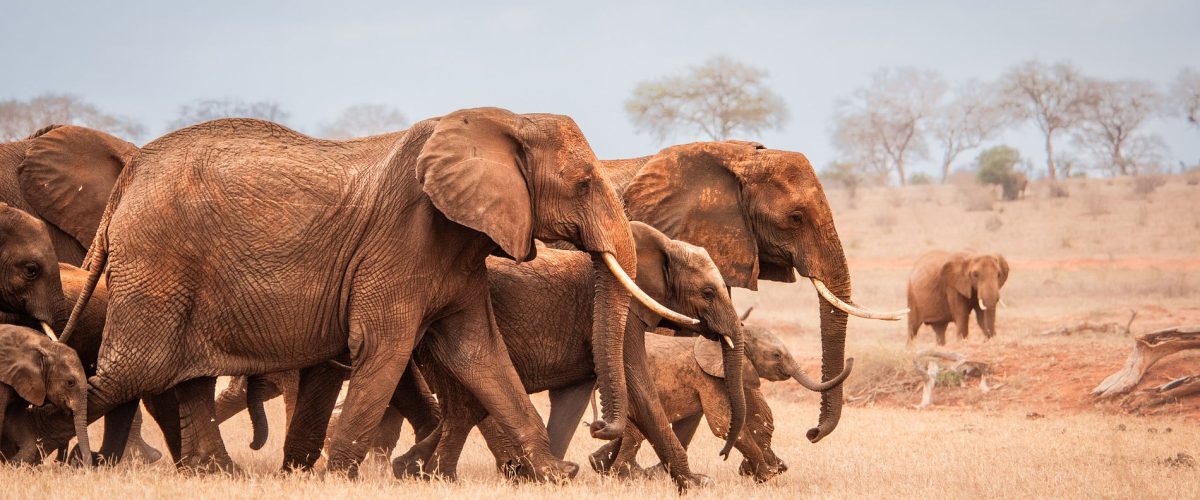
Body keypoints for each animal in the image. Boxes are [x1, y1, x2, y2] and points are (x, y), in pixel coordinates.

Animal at [53, 108, 696, 479]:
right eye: (584, 183)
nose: (600, 434)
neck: (503, 121)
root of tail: (129, 175)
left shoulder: (455, 249)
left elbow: (480, 354)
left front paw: (556, 476)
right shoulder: (402, 241)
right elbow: (383, 348)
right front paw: (334, 478)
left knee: (179, 375)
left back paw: (215, 474)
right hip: (156, 265)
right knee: (131, 371)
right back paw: (53, 454)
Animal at [590, 323, 850, 482]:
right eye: (776, 356)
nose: (811, 433)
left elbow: (758, 418)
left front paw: (773, 470)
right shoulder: (708, 377)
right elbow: (723, 424)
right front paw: (766, 475)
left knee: (633, 431)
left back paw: (607, 467)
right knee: (635, 432)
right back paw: (624, 476)